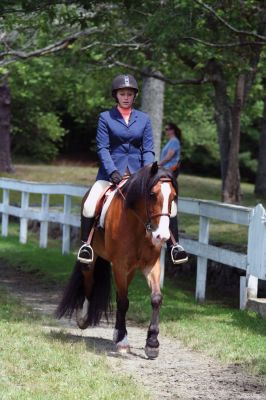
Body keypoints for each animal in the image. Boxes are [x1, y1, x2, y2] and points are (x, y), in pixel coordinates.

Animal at [55, 162, 177, 360]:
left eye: (173, 197)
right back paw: (84, 317)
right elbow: (123, 302)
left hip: (131, 269)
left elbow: (156, 298)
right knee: (89, 282)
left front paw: (152, 343)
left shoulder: (150, 265)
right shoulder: (119, 265)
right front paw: (123, 340)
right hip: (92, 260)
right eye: (152, 194)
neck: (138, 224)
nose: (162, 236)